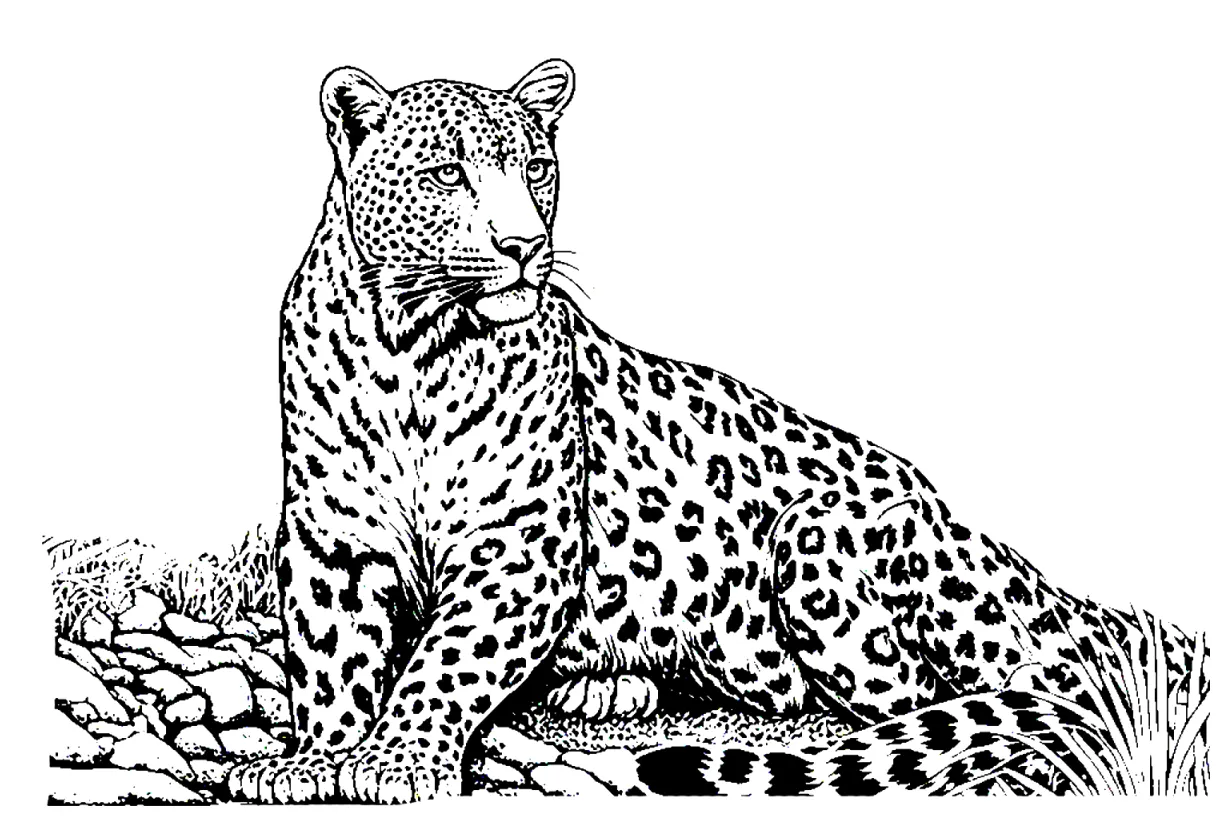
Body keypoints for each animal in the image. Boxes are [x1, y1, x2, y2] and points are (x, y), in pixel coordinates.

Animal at [228, 59, 1204, 803]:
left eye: (536, 169)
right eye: (445, 175)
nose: (521, 245)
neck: (415, 353)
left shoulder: (522, 545)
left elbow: (449, 661)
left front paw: (397, 760)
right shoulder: (331, 537)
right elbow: (331, 658)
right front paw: (316, 760)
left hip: (827, 550)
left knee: (931, 703)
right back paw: (606, 683)